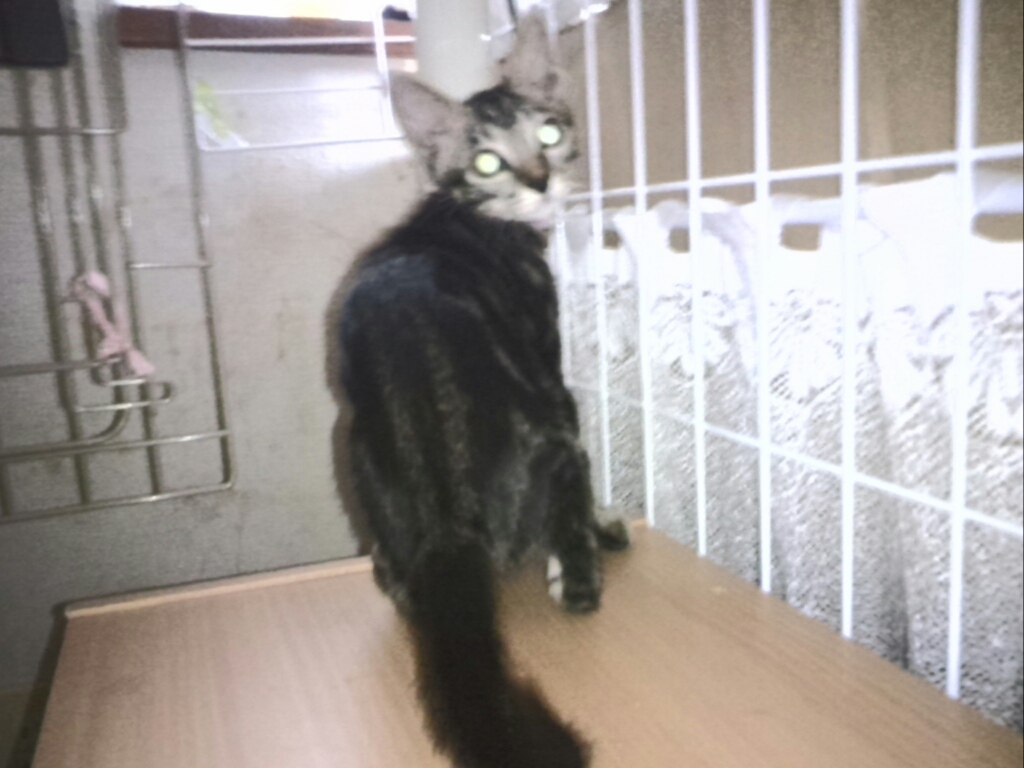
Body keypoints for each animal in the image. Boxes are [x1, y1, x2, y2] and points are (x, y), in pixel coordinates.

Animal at [329, 12, 629, 768]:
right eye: (487, 161)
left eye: (548, 132)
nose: (542, 179)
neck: (469, 211)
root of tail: (446, 523)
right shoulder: (548, 352)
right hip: (554, 424)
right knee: (572, 500)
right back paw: (585, 563)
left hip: (353, 449)